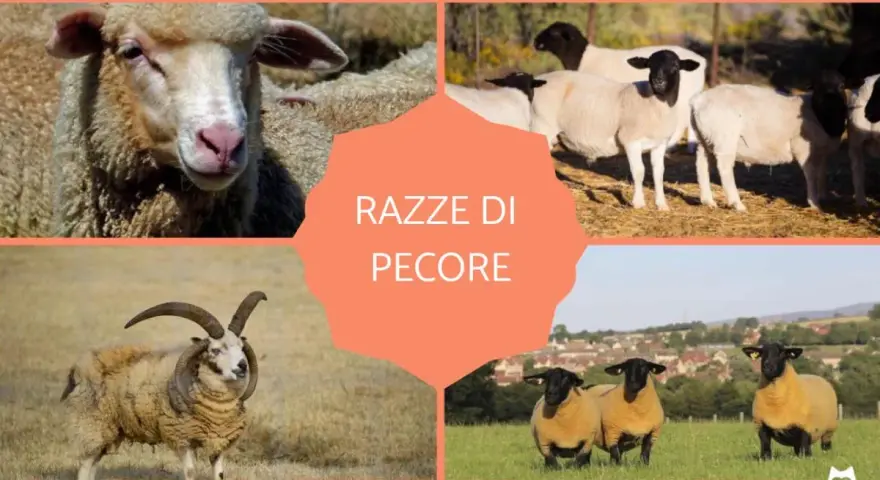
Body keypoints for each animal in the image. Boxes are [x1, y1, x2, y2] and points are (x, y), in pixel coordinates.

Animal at [61, 291, 268, 480]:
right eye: (215, 350)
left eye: (241, 347)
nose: (242, 367)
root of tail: (78, 367)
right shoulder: (182, 437)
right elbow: (191, 472)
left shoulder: (218, 441)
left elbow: (220, 474)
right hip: (92, 425)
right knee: (85, 465)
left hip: (108, 430)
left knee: (93, 464)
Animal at [530, 49, 700, 210]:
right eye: (650, 65)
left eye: (675, 66)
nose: (658, 81)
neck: (654, 103)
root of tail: (537, 80)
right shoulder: (630, 140)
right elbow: (639, 171)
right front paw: (638, 203)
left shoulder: (660, 144)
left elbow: (659, 173)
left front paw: (662, 205)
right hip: (542, 125)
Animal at [533, 21, 707, 153]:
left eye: (553, 32)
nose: (535, 42)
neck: (582, 58)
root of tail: (702, 61)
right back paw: (691, 148)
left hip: (683, 96)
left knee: (683, 121)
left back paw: (672, 146)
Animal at [690, 70, 848, 212]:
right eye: (817, 87)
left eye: (842, 85)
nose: (829, 104)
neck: (820, 114)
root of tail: (698, 101)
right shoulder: (802, 148)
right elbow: (811, 175)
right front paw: (815, 204)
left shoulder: (821, 152)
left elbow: (821, 173)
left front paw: (822, 196)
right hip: (725, 139)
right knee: (724, 168)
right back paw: (737, 204)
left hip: (704, 139)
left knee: (702, 165)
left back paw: (708, 201)